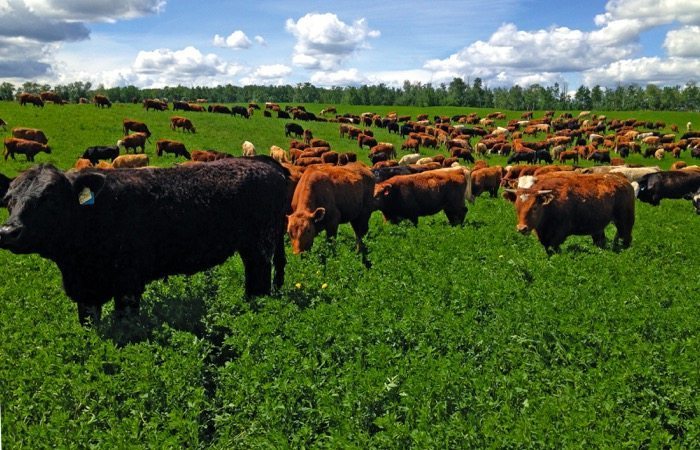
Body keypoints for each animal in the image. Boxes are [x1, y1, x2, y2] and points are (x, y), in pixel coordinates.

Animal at [0, 158, 288, 324]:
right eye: (8, 199)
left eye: (50, 198)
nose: (8, 231)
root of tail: (268, 165)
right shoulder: (86, 291)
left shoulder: (128, 283)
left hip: (260, 246)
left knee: (259, 280)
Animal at [503, 173, 635, 253]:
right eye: (516, 207)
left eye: (534, 207)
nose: (522, 228)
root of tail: (625, 181)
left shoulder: (558, 235)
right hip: (599, 228)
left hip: (625, 222)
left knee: (626, 237)